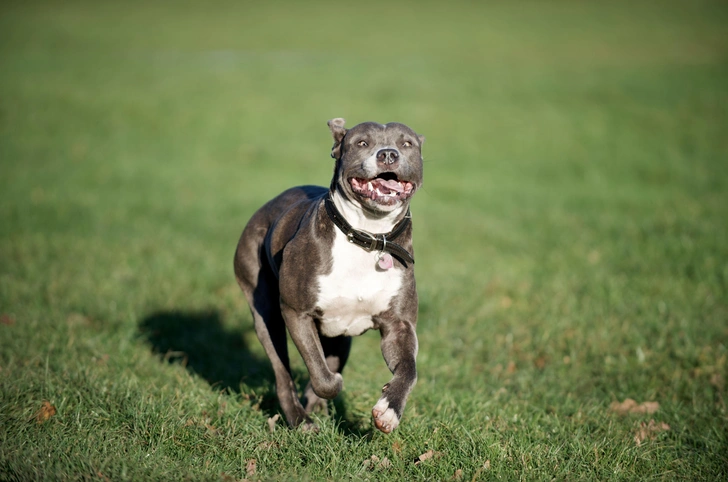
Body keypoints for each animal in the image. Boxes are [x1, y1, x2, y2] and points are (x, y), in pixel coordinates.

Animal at [233, 117, 426, 434]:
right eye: (362, 143)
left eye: (406, 143)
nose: (388, 154)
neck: (369, 236)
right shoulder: (297, 313)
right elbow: (321, 374)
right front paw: (329, 387)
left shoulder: (399, 324)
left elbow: (409, 370)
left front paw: (389, 410)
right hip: (266, 313)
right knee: (283, 373)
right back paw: (301, 420)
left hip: (340, 338)